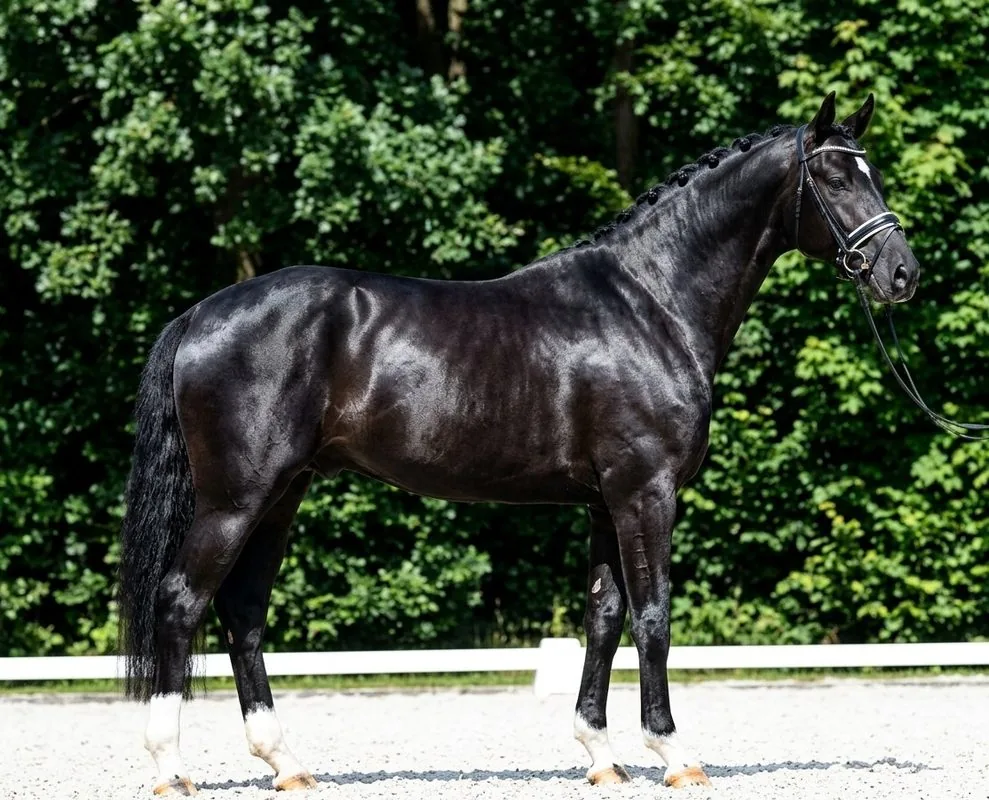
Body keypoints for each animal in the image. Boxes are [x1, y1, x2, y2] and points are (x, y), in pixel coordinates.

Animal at [118, 91, 919, 796]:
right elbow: (654, 617)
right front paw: (673, 754)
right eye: (834, 177)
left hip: (282, 494)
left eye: (872, 172)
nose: (901, 272)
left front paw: (601, 756)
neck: (650, 304)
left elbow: (603, 617)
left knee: (243, 613)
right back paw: (168, 769)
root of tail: (199, 315)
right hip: (236, 499)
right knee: (181, 602)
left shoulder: (604, 502)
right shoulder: (645, 493)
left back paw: (285, 764)